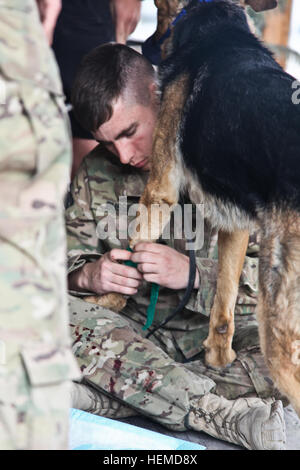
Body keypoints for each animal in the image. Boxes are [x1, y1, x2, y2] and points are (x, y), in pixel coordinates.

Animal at [87, 0, 300, 414]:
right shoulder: (235, 222)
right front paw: (218, 358)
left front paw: (108, 299)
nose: (145, 43)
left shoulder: (160, 189)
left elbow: (130, 253)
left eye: (156, 8)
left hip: (278, 324)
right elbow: (224, 304)